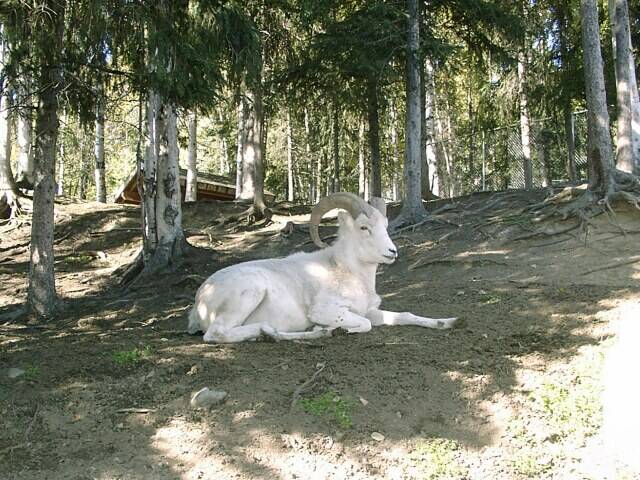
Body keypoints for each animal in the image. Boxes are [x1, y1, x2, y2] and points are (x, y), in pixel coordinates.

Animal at [188, 193, 458, 344]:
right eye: (364, 227)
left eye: (385, 225)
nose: (392, 252)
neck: (348, 273)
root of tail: (200, 300)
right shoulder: (328, 310)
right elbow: (364, 324)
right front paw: (333, 328)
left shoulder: (370, 311)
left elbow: (405, 316)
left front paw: (449, 322)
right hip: (250, 293)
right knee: (217, 334)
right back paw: (273, 332)